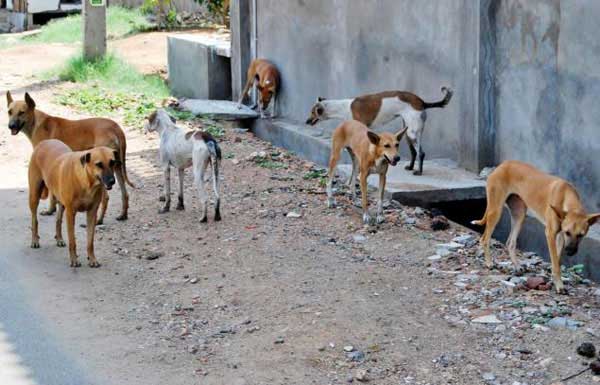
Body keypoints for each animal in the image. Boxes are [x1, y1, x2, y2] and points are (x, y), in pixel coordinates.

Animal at [7, 90, 134, 222]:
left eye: (22, 112)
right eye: (9, 112)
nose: (10, 126)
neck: (36, 122)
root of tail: (116, 127)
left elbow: (51, 195)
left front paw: (50, 210)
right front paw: (52, 210)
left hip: (104, 174)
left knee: (106, 198)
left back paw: (99, 220)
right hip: (117, 167)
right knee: (125, 194)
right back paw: (123, 215)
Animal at [28, 138, 120, 268]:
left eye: (112, 162)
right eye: (99, 164)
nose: (112, 181)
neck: (87, 182)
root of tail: (45, 141)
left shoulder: (92, 213)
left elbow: (90, 241)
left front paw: (92, 259)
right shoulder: (71, 213)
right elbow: (72, 240)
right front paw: (74, 260)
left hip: (61, 202)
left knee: (58, 220)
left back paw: (59, 239)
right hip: (34, 195)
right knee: (34, 219)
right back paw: (35, 240)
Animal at [308, 86, 452, 175]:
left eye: (312, 113)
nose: (306, 121)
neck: (344, 107)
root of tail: (422, 102)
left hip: (412, 133)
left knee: (421, 153)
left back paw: (419, 172)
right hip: (407, 133)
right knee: (414, 152)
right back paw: (411, 167)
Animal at [474, 160, 600, 292]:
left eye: (581, 235)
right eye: (568, 232)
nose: (570, 252)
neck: (566, 196)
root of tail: (503, 164)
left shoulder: (560, 237)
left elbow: (557, 260)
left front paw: (555, 278)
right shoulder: (550, 234)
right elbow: (555, 262)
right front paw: (559, 285)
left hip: (520, 214)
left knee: (510, 243)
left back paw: (517, 266)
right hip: (496, 211)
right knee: (484, 239)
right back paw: (489, 263)